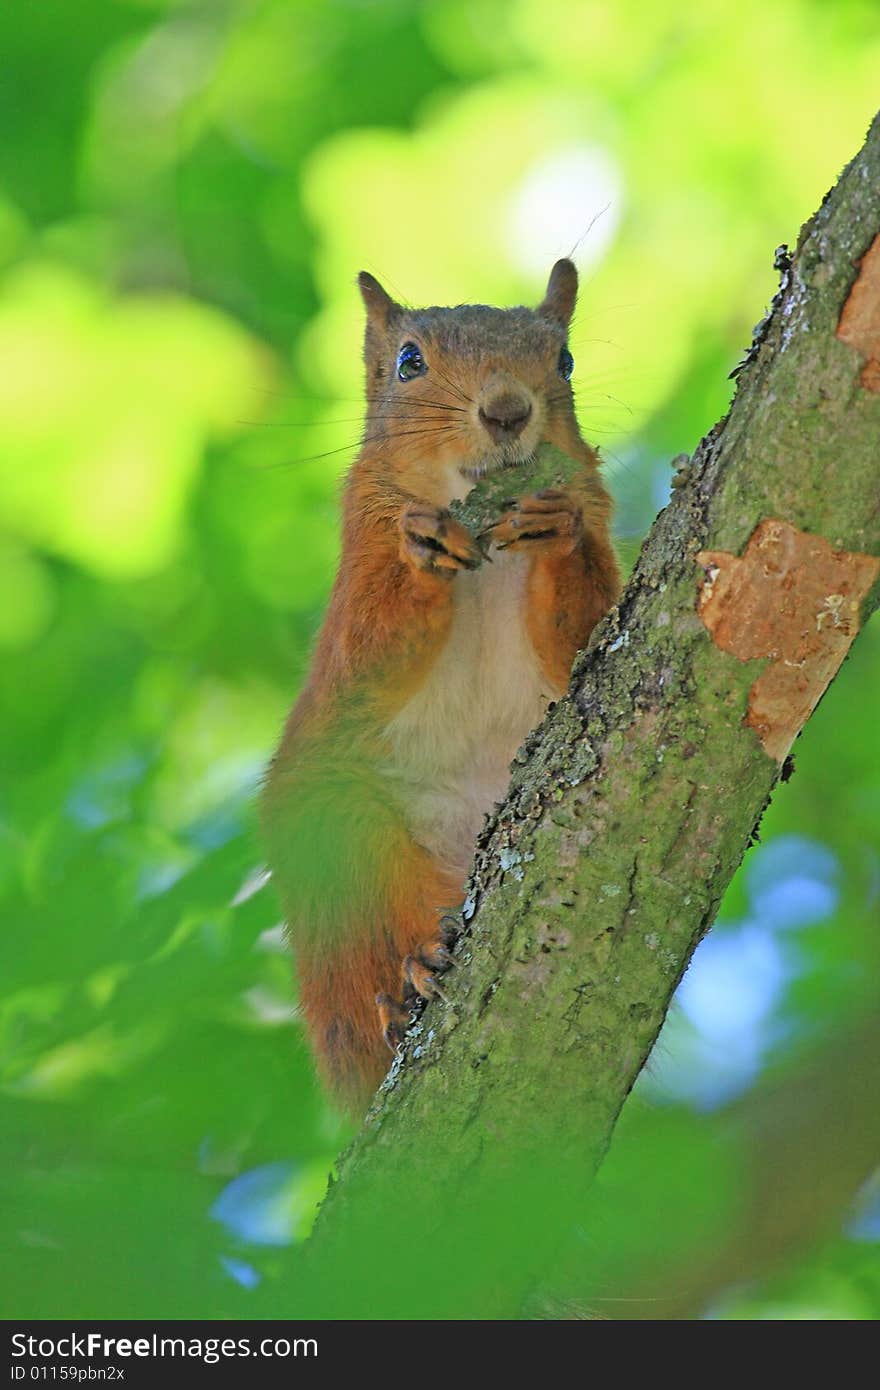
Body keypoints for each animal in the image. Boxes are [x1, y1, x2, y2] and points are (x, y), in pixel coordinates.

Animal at [258, 258, 617, 1106]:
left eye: (564, 359)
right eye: (408, 363)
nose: (508, 410)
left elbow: (583, 630)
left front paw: (557, 532)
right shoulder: (358, 559)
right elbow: (368, 648)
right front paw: (421, 548)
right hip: (339, 837)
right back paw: (409, 980)